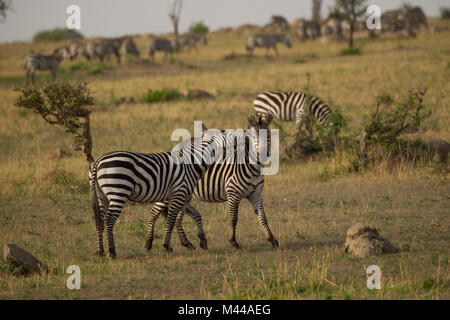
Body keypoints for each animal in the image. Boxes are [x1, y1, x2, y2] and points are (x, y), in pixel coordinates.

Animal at [89, 126, 225, 258]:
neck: (190, 164)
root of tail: (98, 160)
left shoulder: (178, 195)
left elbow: (195, 214)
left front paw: (202, 240)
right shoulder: (179, 194)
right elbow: (171, 220)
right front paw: (167, 246)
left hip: (101, 195)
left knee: (100, 220)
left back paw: (100, 251)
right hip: (119, 191)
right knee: (109, 219)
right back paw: (111, 252)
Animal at [145, 114, 278, 251]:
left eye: (268, 135)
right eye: (253, 137)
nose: (263, 154)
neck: (253, 168)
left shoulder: (256, 195)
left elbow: (263, 218)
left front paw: (272, 240)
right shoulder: (233, 194)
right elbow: (233, 219)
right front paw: (233, 242)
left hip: (183, 194)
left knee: (177, 218)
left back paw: (186, 243)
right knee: (154, 212)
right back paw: (149, 242)